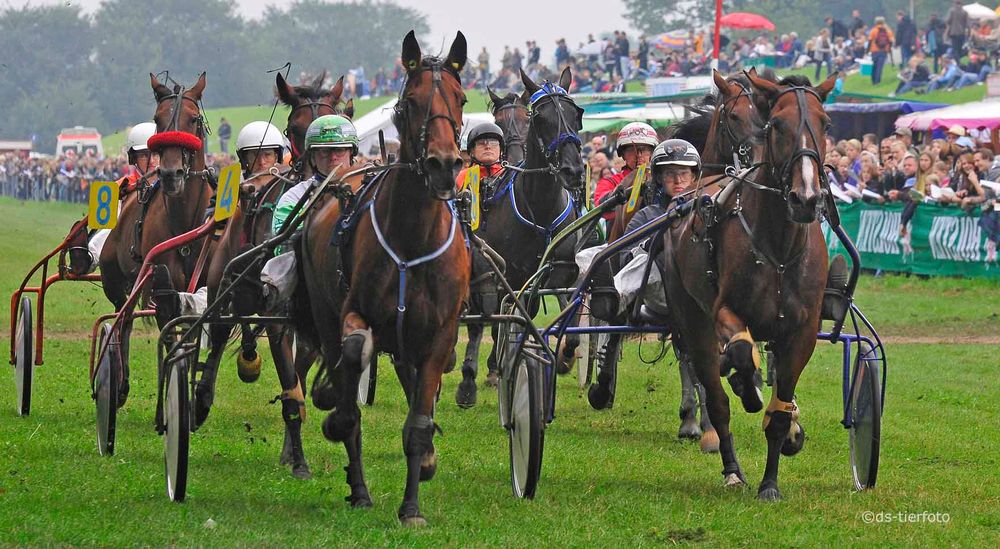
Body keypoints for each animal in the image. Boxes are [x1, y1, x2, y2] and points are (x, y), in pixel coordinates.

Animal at [99, 73, 215, 404]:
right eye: (157, 119)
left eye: (193, 119)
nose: (170, 173)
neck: (185, 223)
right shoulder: (163, 291)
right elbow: (171, 339)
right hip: (116, 281)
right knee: (123, 320)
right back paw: (118, 382)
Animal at [195, 71, 352, 476]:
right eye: (296, 126)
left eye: (334, 117)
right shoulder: (278, 318)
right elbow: (291, 392)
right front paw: (299, 463)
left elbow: (298, 382)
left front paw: (290, 453)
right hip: (222, 281)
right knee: (218, 334)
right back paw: (200, 398)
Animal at [294, 31, 470, 528]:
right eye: (409, 103)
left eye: (461, 98)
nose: (444, 164)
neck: (412, 239)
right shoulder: (355, 312)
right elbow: (354, 356)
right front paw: (337, 419)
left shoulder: (439, 334)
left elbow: (418, 421)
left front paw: (412, 505)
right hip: (322, 309)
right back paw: (358, 487)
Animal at [454, 68, 584, 404]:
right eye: (540, 117)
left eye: (576, 113)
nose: (573, 170)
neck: (539, 208)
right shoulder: (500, 272)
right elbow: (491, 317)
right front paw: (474, 378)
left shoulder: (557, 272)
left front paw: (563, 356)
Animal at [664, 74, 836, 500]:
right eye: (777, 124)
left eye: (826, 124)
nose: (806, 197)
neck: (778, 247)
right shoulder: (724, 311)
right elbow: (741, 353)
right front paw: (745, 383)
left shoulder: (800, 332)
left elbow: (781, 410)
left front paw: (771, 483)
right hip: (691, 316)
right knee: (716, 396)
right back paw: (731, 466)